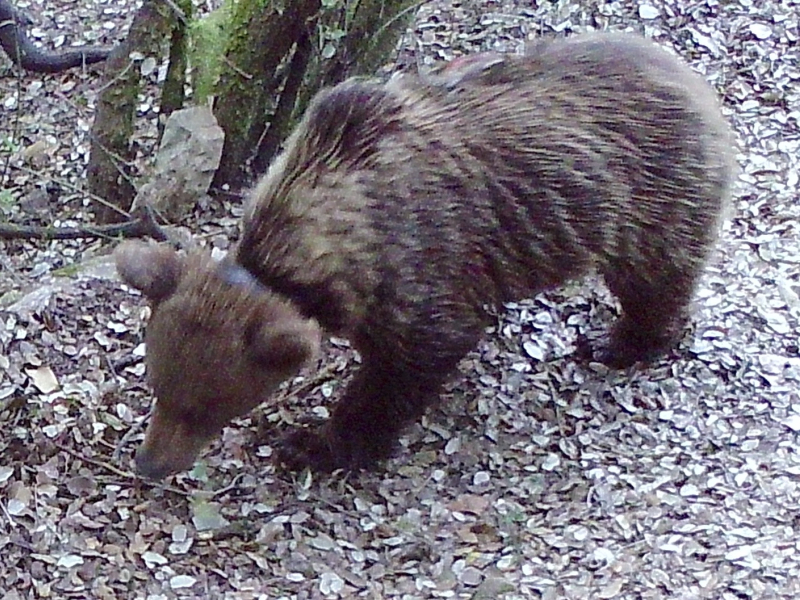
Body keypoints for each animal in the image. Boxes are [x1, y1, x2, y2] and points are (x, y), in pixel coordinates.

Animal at [114, 34, 736, 482]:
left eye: (205, 407)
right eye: (159, 387)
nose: (149, 466)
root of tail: (699, 85)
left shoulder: (419, 267)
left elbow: (408, 363)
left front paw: (317, 443)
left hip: (650, 195)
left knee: (656, 274)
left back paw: (620, 341)